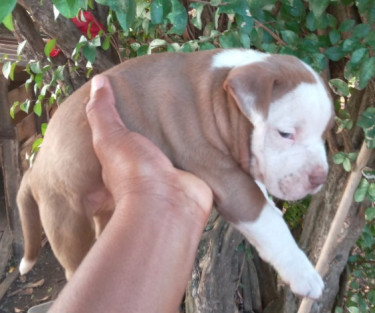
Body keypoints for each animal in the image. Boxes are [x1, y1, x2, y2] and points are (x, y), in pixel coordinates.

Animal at [18, 48, 334, 298]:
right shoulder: (226, 179)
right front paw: (304, 274)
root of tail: (34, 169)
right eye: (285, 133)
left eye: (324, 134)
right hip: (67, 221)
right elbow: (269, 224)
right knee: (74, 263)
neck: (220, 96)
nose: (320, 177)